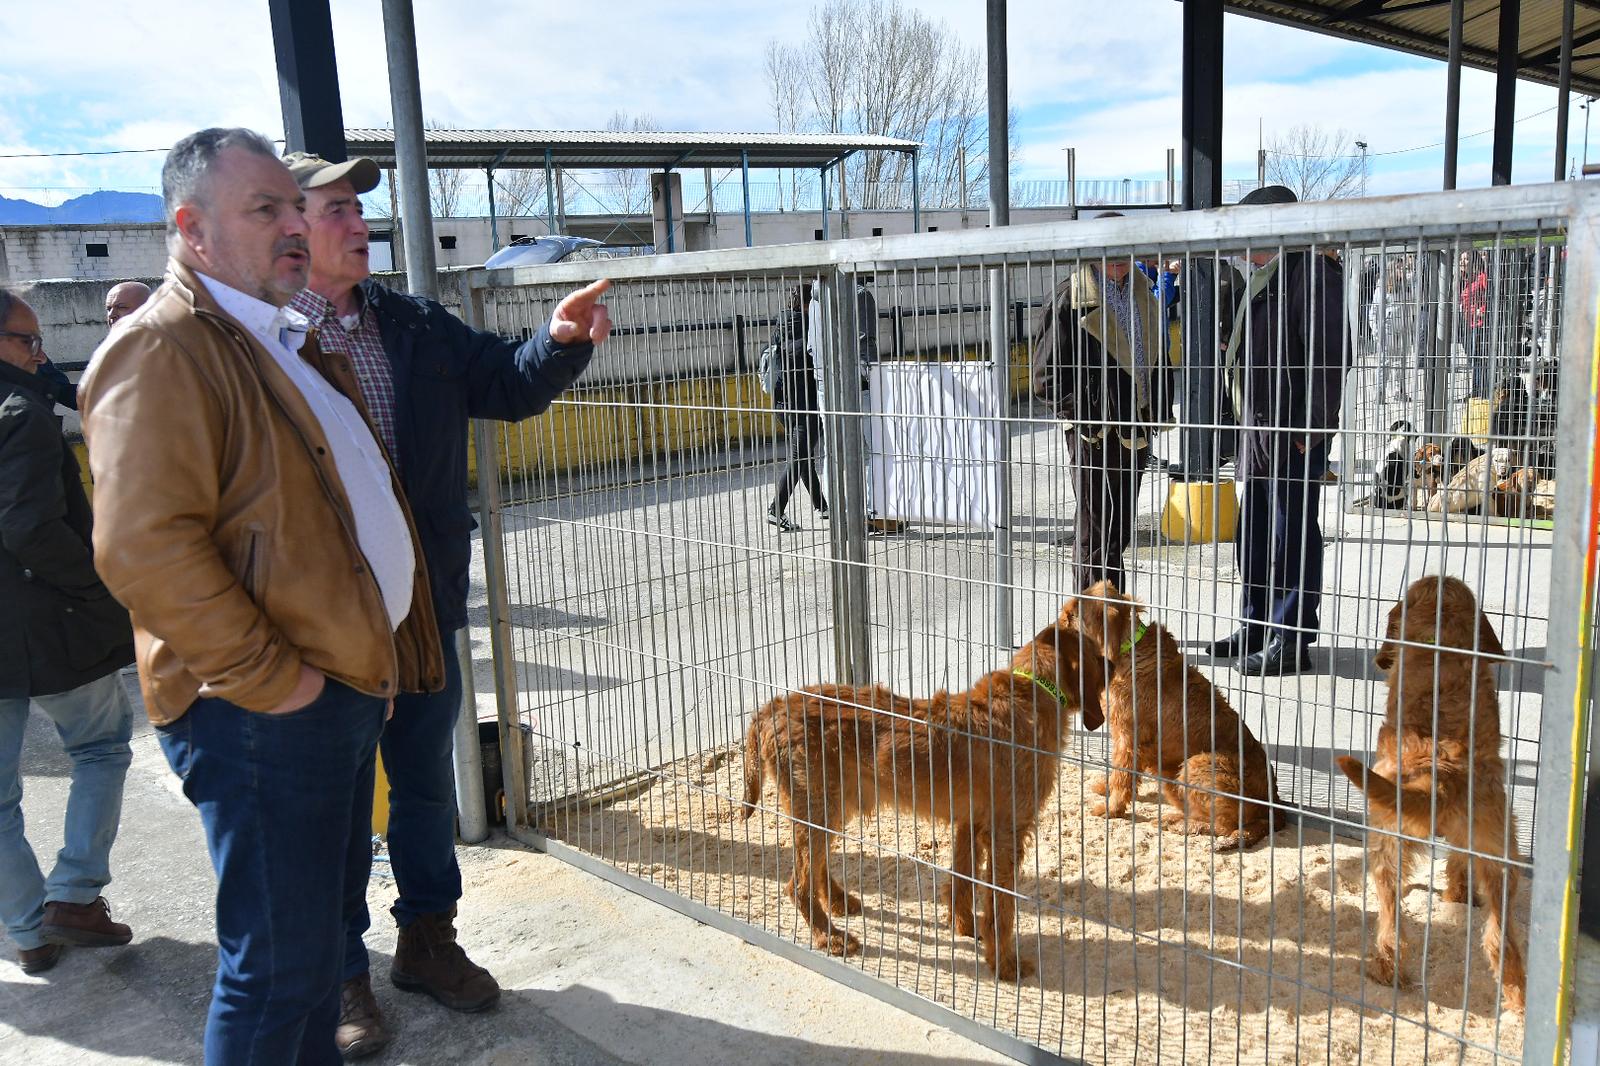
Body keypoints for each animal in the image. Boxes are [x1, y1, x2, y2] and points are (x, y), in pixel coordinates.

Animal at [742, 614, 1107, 979]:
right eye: (1094, 651)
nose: (1114, 664)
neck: (1032, 690)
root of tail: (772, 708)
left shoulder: (972, 822)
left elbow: (962, 879)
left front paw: (964, 926)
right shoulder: (1007, 832)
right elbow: (1001, 906)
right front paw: (1004, 963)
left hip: (829, 807)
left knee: (815, 866)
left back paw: (838, 901)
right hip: (819, 806)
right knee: (797, 884)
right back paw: (828, 936)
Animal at [1068, 582, 1280, 845]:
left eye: (1071, 617)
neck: (1129, 648)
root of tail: (1274, 809)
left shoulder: (1129, 738)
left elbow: (1122, 776)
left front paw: (1111, 809)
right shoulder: (1123, 739)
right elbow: (1120, 772)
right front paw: (1106, 788)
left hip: (1197, 763)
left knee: (1224, 826)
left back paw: (1180, 824)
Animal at [1331, 576, 1529, 1011]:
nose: (1380, 660)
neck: (1444, 640)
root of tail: (1442, 772)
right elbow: (1457, 862)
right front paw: (1457, 893)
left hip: (1387, 839)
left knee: (1392, 920)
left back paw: (1385, 970)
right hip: (1499, 851)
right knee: (1500, 937)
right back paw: (1518, 999)